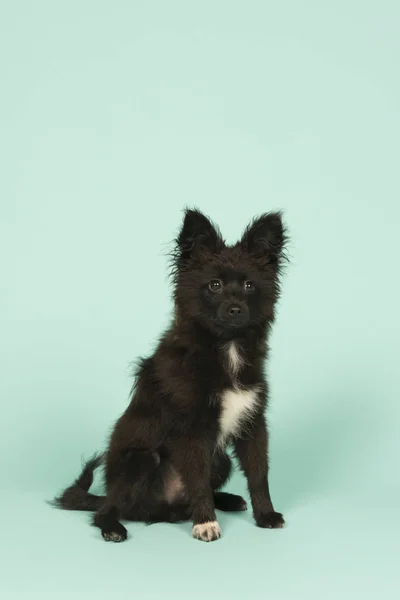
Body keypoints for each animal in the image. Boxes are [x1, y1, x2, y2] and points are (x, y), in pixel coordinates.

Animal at [55, 210, 288, 544]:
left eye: (249, 286)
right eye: (214, 285)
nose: (235, 310)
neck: (224, 347)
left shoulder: (253, 422)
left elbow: (259, 474)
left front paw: (266, 515)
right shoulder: (192, 429)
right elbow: (199, 481)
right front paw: (206, 523)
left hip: (221, 459)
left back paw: (226, 500)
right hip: (140, 462)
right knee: (110, 509)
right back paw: (114, 527)